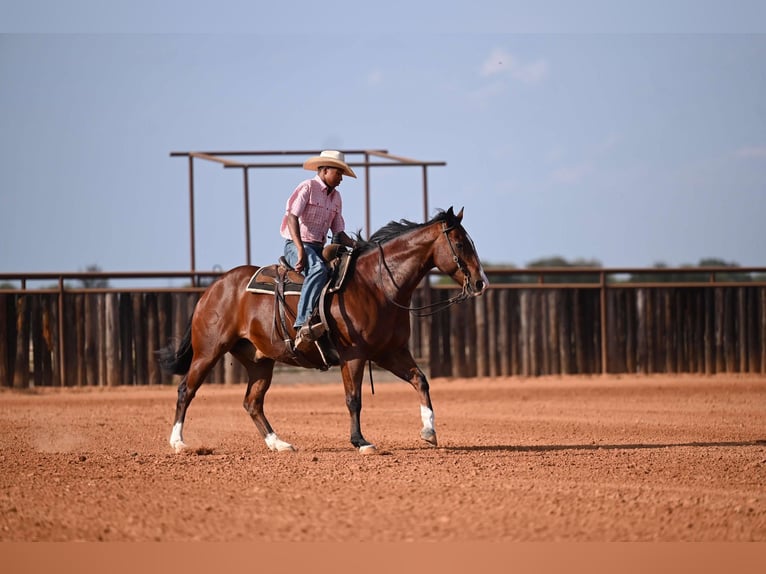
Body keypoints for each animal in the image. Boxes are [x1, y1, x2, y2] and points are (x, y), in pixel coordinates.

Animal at [157, 206, 488, 454]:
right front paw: (360, 442)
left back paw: (279, 444)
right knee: (186, 390)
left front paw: (429, 431)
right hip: (209, 351)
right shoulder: (353, 355)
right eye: (460, 244)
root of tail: (214, 288)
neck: (376, 285)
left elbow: (421, 381)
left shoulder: (390, 352)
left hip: (259, 360)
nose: (480, 282)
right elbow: (354, 399)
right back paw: (178, 442)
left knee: (252, 402)